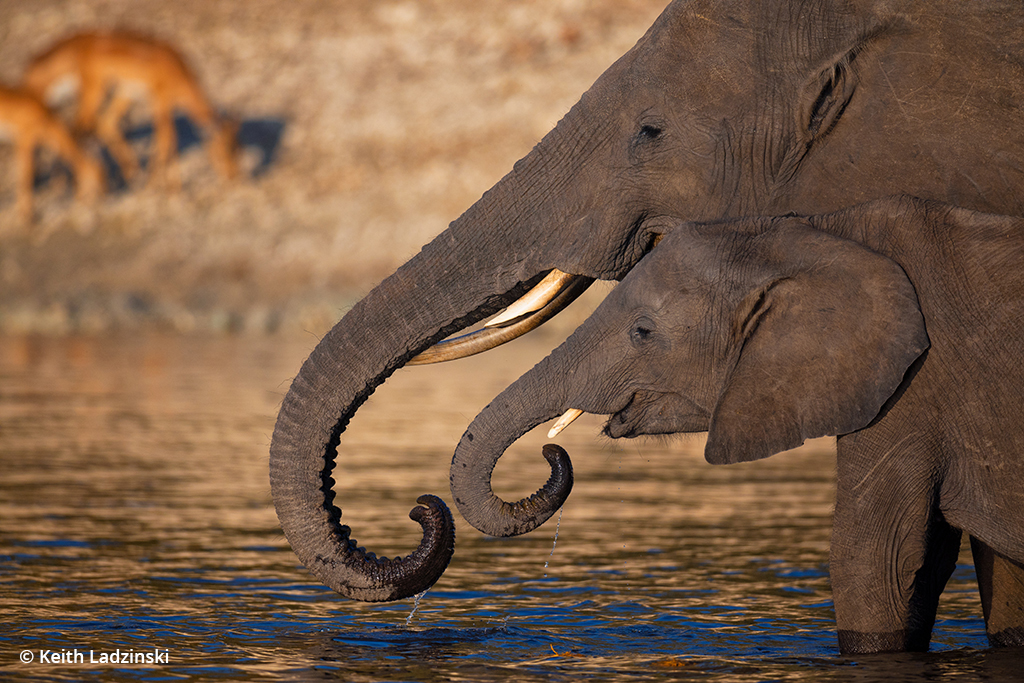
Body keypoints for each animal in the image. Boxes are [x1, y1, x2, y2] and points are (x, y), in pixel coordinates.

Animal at [0, 83, 103, 220]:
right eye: (97, 176)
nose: (96, 205)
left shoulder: (35, 146)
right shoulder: (25, 141)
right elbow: (26, 176)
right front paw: (28, 217)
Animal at [25, 30, 239, 187]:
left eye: (237, 147)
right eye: (224, 148)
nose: (233, 176)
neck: (178, 70)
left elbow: (169, 139)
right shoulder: (160, 102)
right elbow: (166, 139)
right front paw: (163, 186)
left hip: (123, 94)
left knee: (103, 124)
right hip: (97, 93)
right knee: (77, 128)